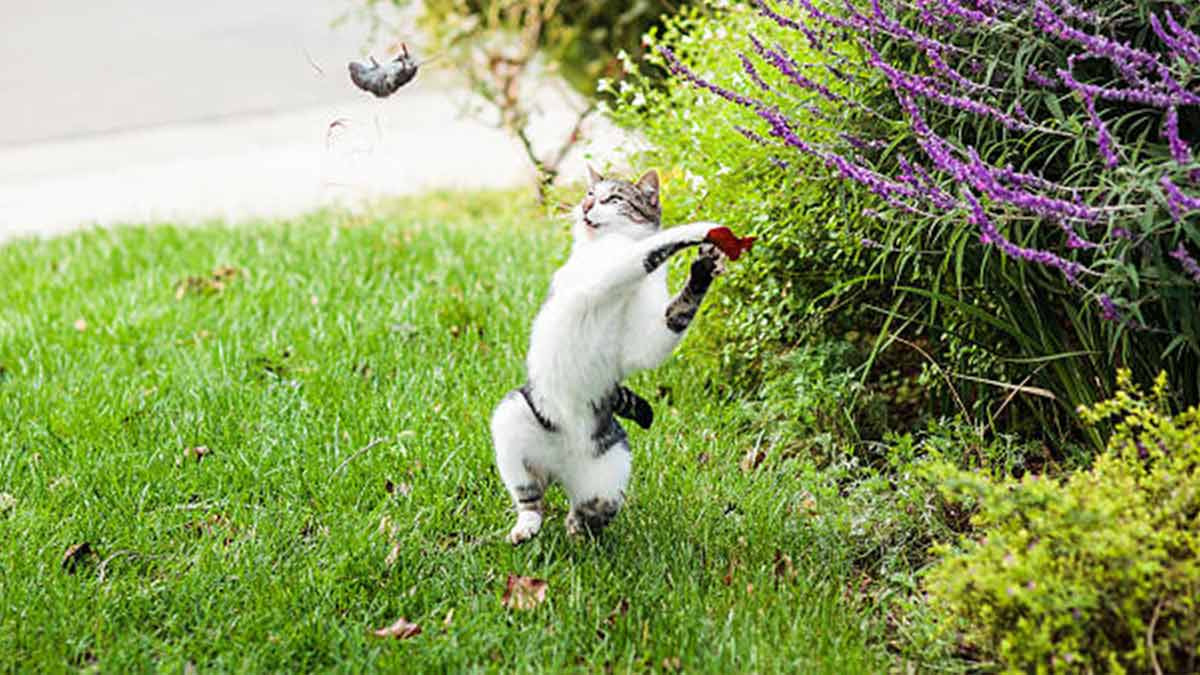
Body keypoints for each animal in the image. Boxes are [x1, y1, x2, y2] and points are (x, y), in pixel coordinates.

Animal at [487, 166, 748, 540]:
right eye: (589, 193)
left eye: (612, 198)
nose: (585, 204)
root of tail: (561, 469)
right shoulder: (601, 275)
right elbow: (645, 252)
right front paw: (699, 229)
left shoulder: (645, 337)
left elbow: (673, 317)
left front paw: (703, 269)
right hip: (514, 419)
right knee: (530, 495)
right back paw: (527, 527)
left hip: (612, 468)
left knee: (592, 508)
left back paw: (578, 529)